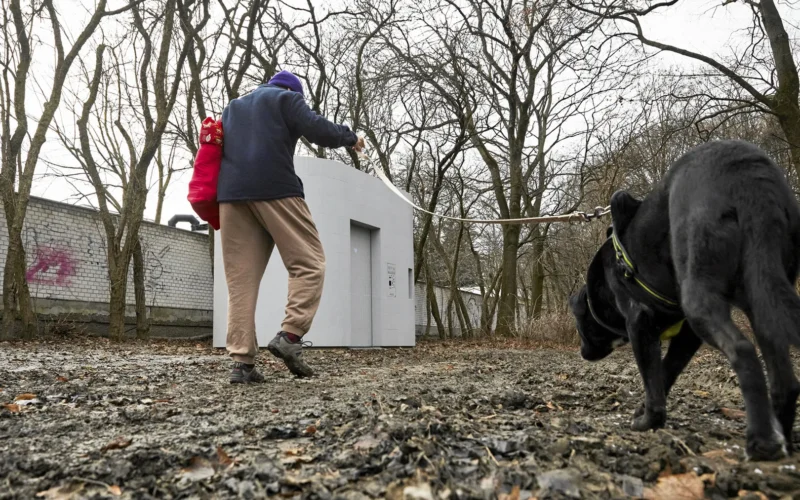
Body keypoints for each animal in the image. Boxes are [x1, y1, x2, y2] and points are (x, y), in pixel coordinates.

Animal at [568, 140, 800, 460]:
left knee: (742, 350)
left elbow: (652, 377)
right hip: (764, 290)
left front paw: (648, 421)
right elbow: (666, 371)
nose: (582, 353)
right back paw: (782, 437)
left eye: (580, 327)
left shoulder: (639, 322)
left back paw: (761, 441)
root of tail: (746, 173)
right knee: (784, 378)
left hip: (699, 295)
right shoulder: (687, 333)